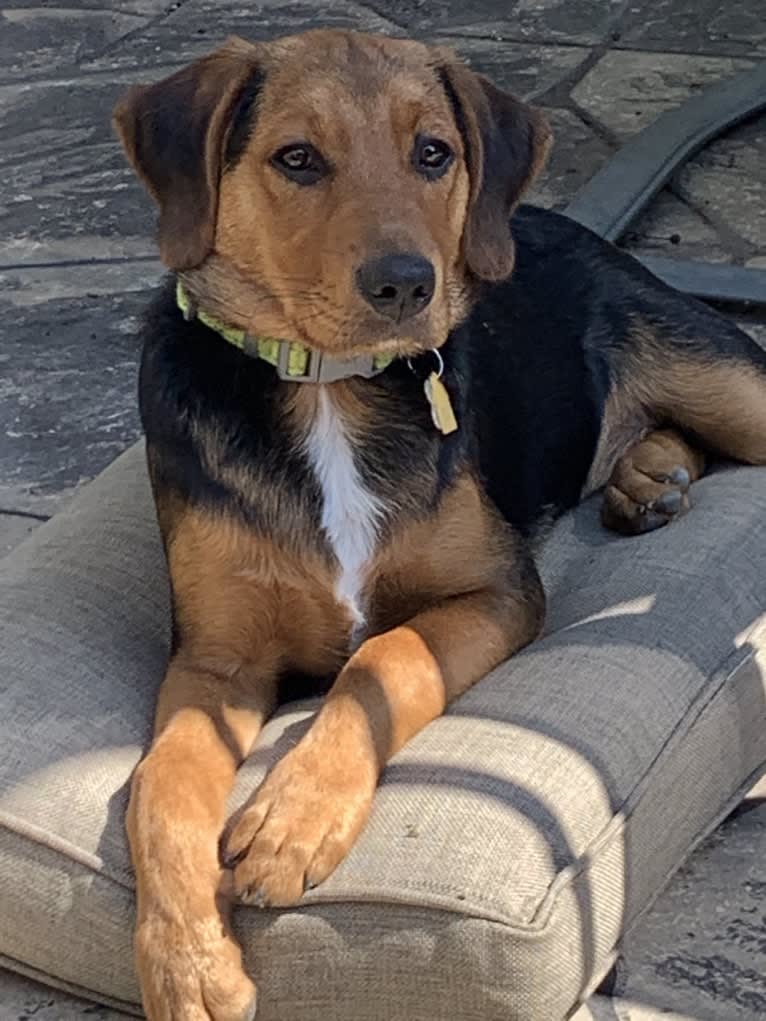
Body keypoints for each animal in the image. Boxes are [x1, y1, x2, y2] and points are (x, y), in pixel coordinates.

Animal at [113, 29, 766, 1021]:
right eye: (295, 158)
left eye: (433, 153)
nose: (407, 284)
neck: (329, 391)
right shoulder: (214, 655)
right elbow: (160, 786)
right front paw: (188, 964)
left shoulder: (495, 588)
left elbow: (385, 659)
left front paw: (291, 821)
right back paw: (649, 477)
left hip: (726, 382)